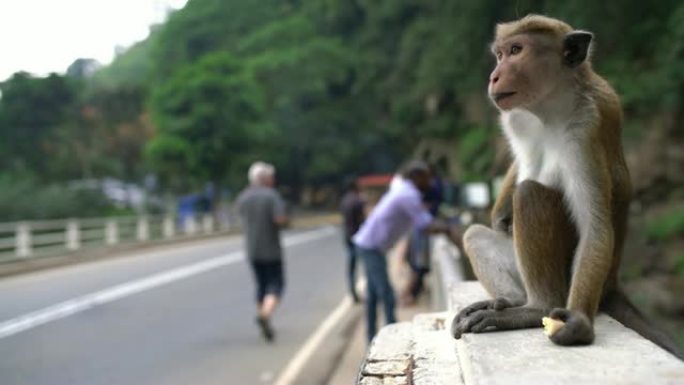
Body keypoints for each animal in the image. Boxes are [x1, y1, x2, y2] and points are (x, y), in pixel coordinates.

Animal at [452, 13, 680, 358]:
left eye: (516, 50)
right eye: (500, 54)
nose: (494, 76)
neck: (550, 107)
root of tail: (612, 282)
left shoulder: (584, 130)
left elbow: (594, 226)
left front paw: (580, 326)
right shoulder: (517, 117)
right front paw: (499, 213)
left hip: (568, 275)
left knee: (530, 193)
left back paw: (535, 308)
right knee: (475, 234)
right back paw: (511, 301)